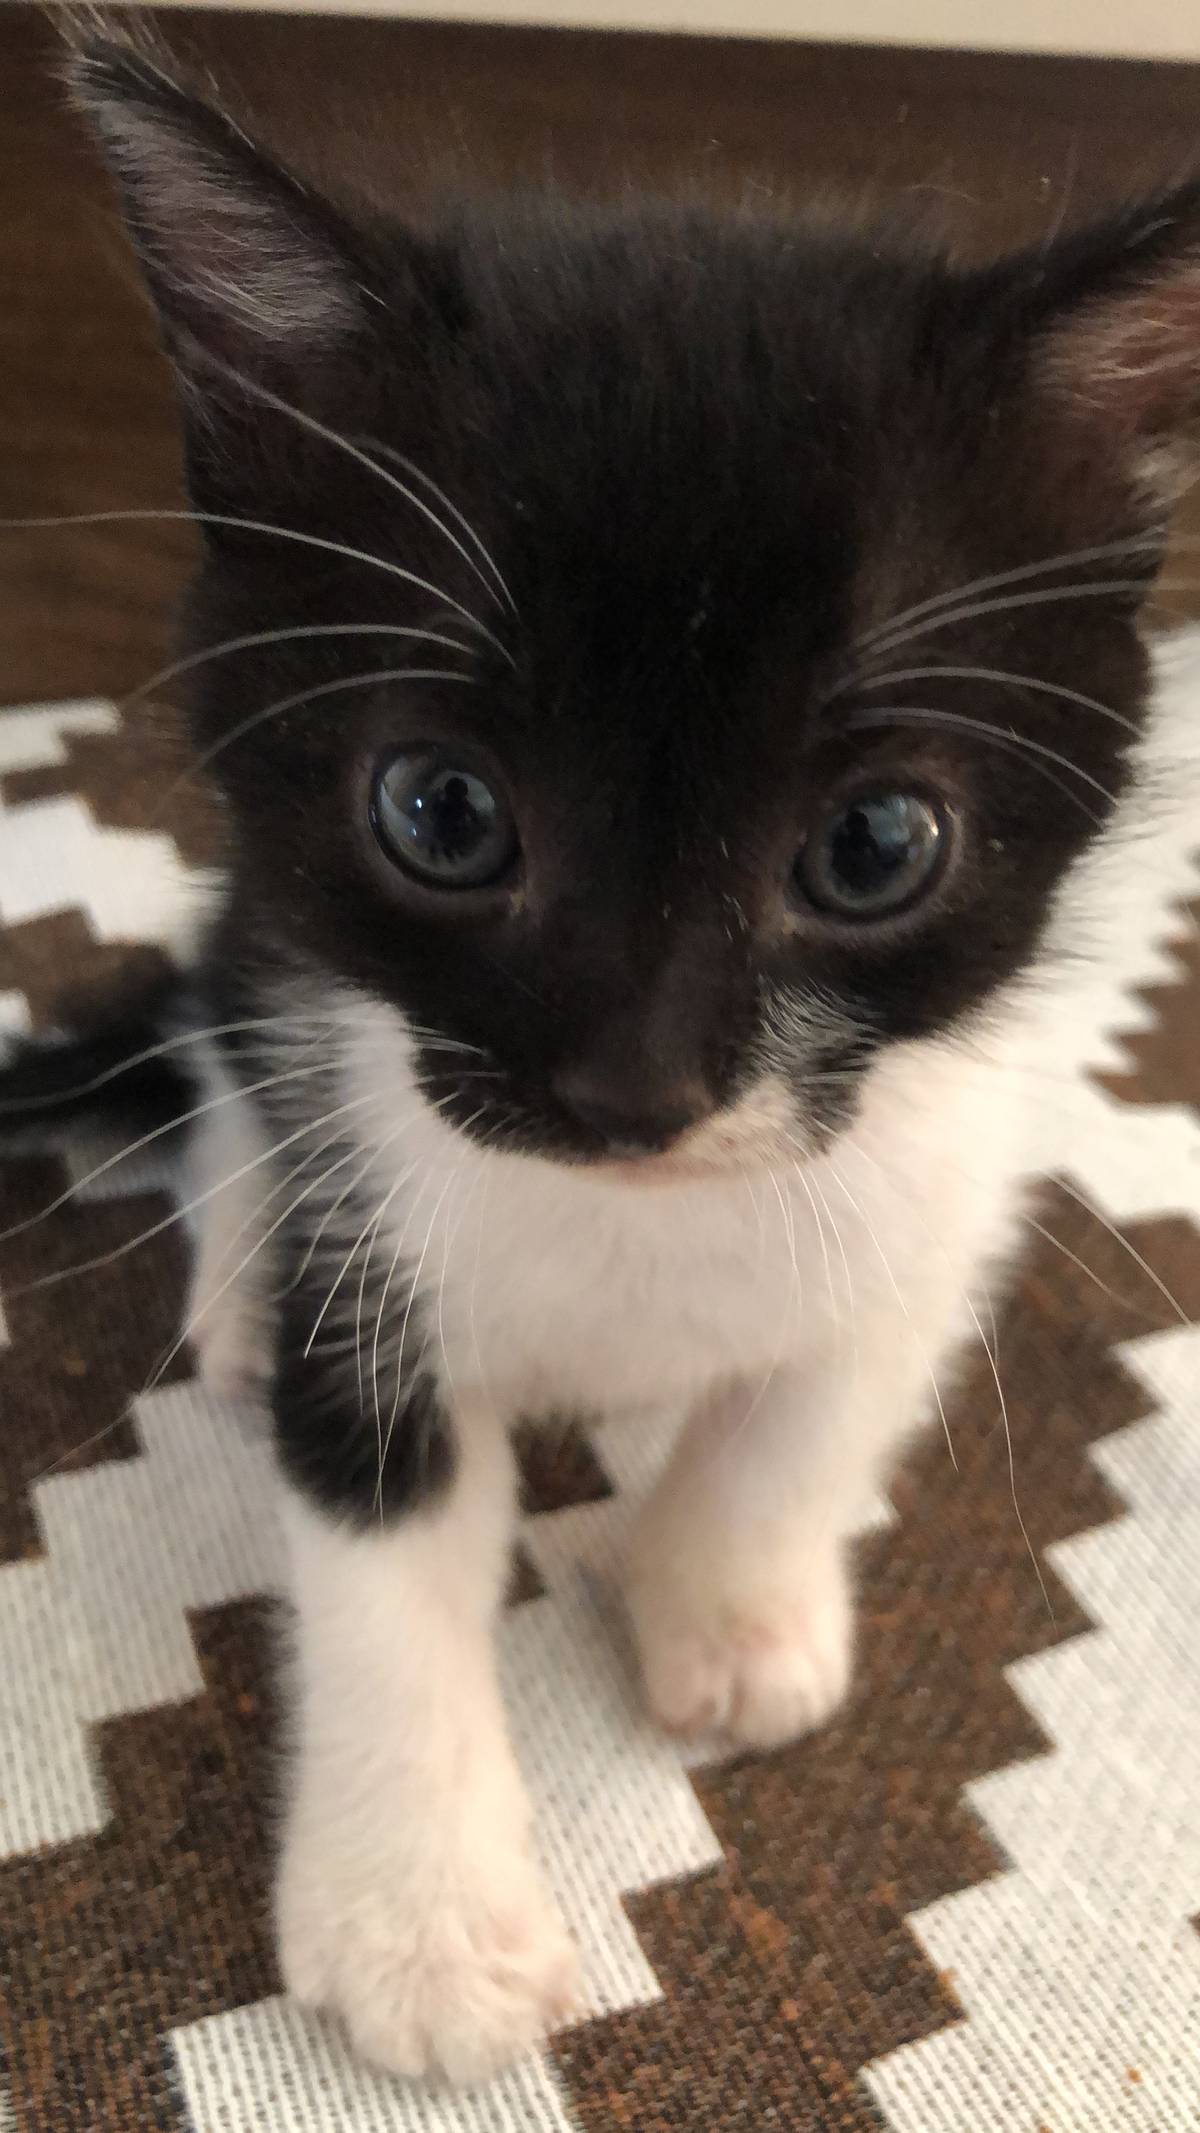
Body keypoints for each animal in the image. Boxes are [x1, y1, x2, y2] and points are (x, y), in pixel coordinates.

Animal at [5, 30, 1198, 2086]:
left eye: (876, 845)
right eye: (440, 811)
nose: (635, 1090)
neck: (645, 1221)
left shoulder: (946, 1153)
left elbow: (824, 1391)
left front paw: (736, 1612)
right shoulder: (373, 1181)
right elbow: (380, 1524)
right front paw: (419, 1923)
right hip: (262, 943)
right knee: (231, 1044)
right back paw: (236, 1273)